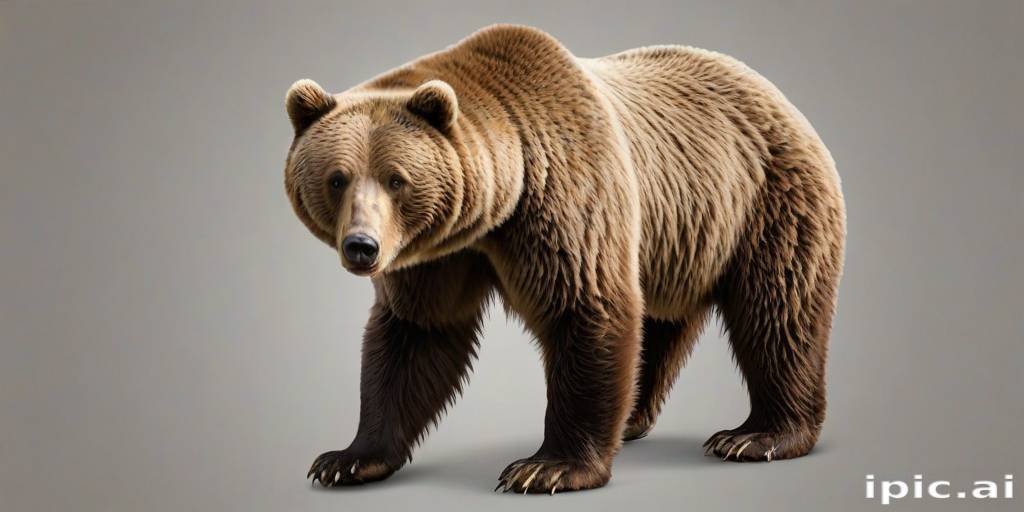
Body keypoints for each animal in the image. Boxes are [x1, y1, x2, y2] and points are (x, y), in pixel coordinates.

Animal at [282, 23, 846, 494]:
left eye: (396, 179)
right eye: (337, 178)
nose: (362, 246)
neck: (493, 210)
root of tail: (773, 92)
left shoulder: (565, 199)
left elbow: (586, 306)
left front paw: (547, 467)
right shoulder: (435, 255)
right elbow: (415, 334)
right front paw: (347, 459)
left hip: (767, 200)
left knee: (778, 311)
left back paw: (757, 435)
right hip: (678, 239)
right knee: (659, 322)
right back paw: (634, 417)